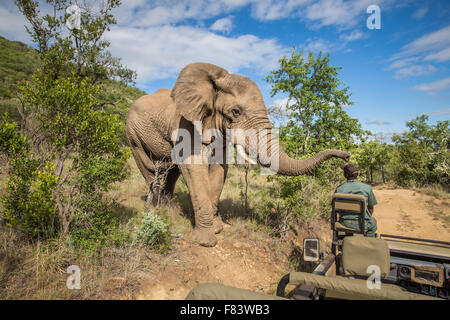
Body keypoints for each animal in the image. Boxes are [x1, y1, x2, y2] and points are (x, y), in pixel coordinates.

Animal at [126, 62, 352, 248]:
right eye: (236, 112)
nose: (347, 157)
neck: (216, 80)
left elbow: (219, 170)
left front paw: (217, 228)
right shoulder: (185, 123)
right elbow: (193, 166)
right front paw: (207, 241)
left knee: (171, 172)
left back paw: (168, 208)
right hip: (133, 136)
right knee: (151, 170)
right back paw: (158, 211)